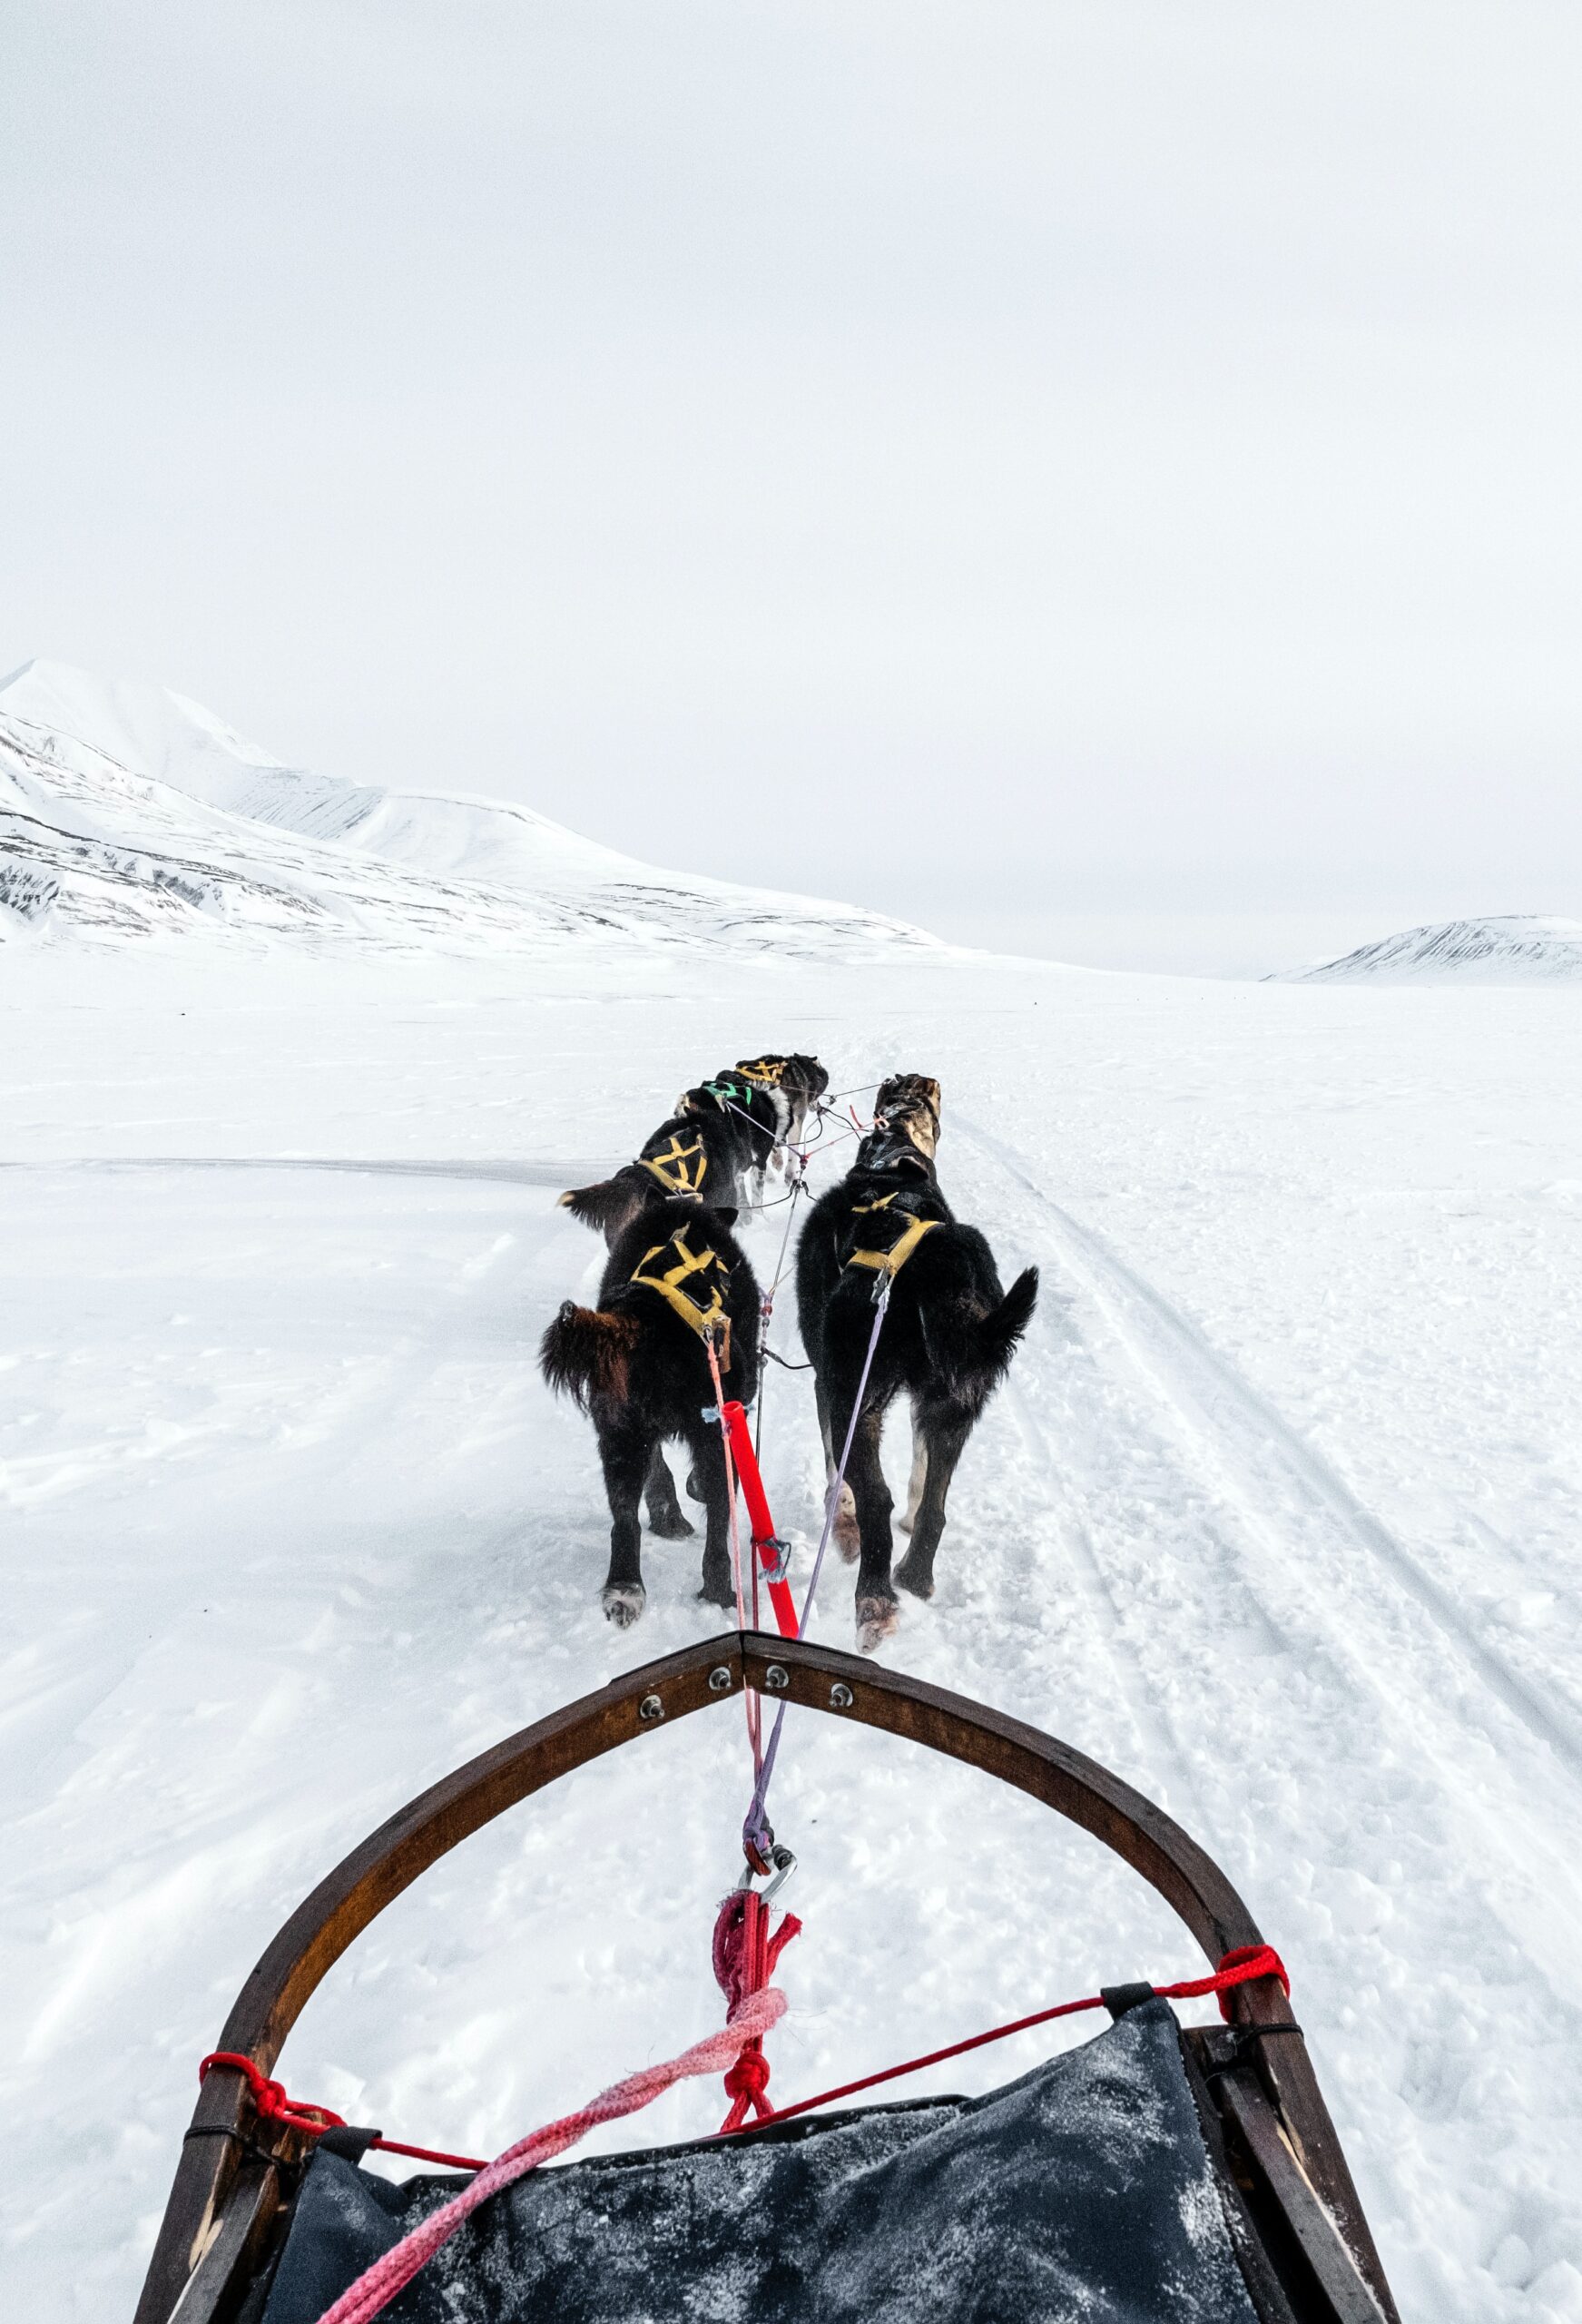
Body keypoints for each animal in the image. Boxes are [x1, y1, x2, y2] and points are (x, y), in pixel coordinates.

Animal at [538, 1208, 762, 1627]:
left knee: (625, 1520)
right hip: (712, 1430)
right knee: (718, 1520)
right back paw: (720, 1591)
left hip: (620, 1434)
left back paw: (625, 1589)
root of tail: (645, 1319)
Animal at [790, 1073, 1036, 1654]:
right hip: (956, 1403)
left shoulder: (826, 1385)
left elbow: (839, 1478)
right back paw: (915, 1577)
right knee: (935, 1511)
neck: (891, 1157)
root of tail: (932, 1265)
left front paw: (842, 1528)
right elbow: (923, 1480)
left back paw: (875, 1601)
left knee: (874, 1499)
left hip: (855, 1395)